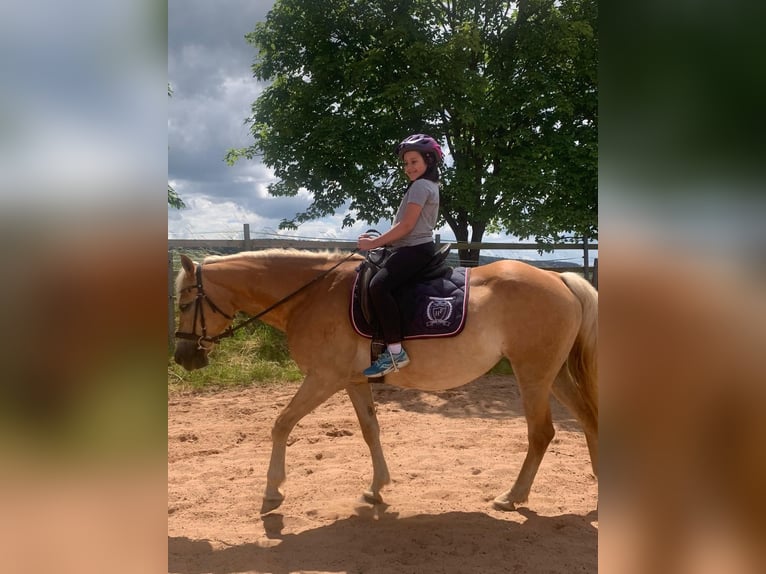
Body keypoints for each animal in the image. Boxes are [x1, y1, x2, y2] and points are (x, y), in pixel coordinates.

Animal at [174, 250, 600, 516]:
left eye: (183, 303)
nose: (183, 357)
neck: (313, 295)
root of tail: (558, 279)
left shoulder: (323, 378)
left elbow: (281, 423)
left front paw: (273, 489)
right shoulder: (352, 381)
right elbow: (370, 429)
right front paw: (377, 487)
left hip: (533, 374)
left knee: (541, 433)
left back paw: (512, 497)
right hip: (553, 374)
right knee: (587, 419)